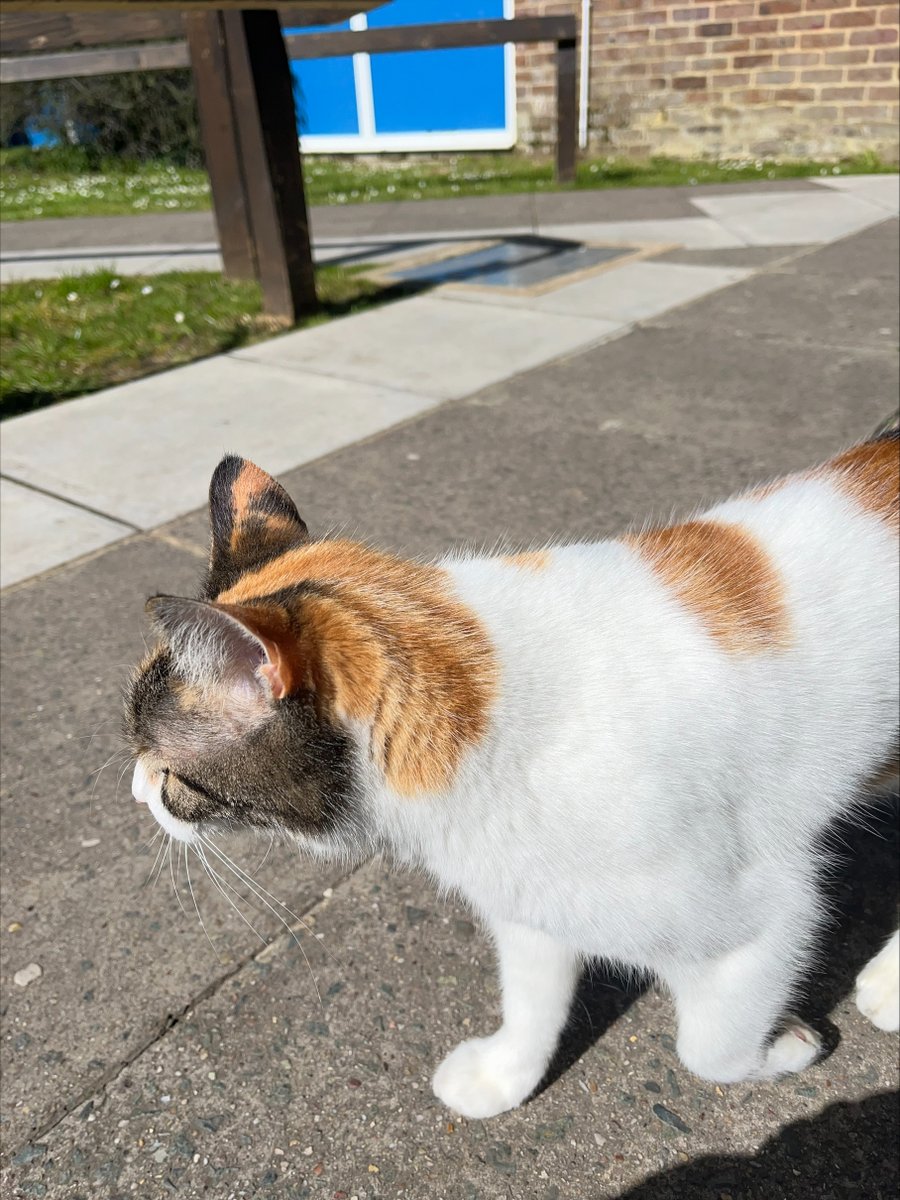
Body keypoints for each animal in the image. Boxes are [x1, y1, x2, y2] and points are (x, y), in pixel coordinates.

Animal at [128, 436, 900, 1118]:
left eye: (171, 775)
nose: (136, 792)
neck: (505, 717)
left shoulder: (765, 914)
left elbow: (709, 1051)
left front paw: (784, 1048)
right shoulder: (531, 896)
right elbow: (532, 997)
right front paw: (505, 1076)